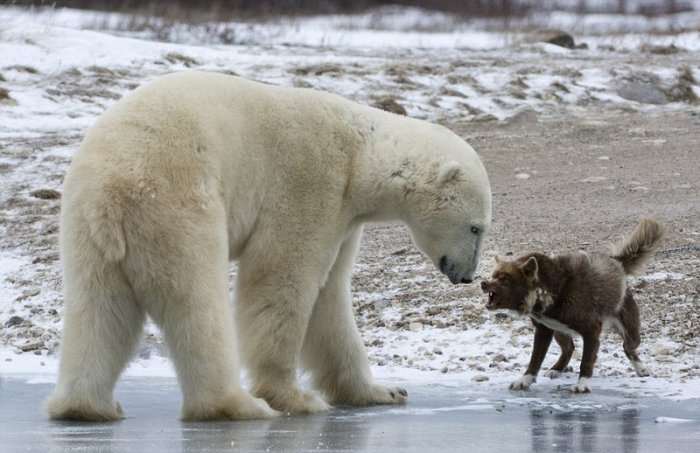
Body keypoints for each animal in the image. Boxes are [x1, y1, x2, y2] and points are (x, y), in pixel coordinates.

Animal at [45, 70, 492, 420]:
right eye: (476, 228)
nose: (467, 277)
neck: (358, 154)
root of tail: (114, 189)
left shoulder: (344, 217)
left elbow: (330, 299)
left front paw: (384, 391)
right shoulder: (310, 181)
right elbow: (281, 278)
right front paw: (294, 398)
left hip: (87, 227)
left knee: (100, 309)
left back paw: (87, 406)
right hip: (176, 205)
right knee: (196, 302)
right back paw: (237, 405)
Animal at [482, 219, 668, 392]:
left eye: (505, 278)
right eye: (493, 275)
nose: (483, 283)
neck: (552, 289)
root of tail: (616, 263)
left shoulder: (592, 329)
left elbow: (586, 361)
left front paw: (583, 384)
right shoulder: (543, 330)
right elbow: (535, 359)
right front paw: (525, 380)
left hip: (629, 329)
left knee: (628, 347)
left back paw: (641, 368)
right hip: (559, 330)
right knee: (569, 348)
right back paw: (557, 369)